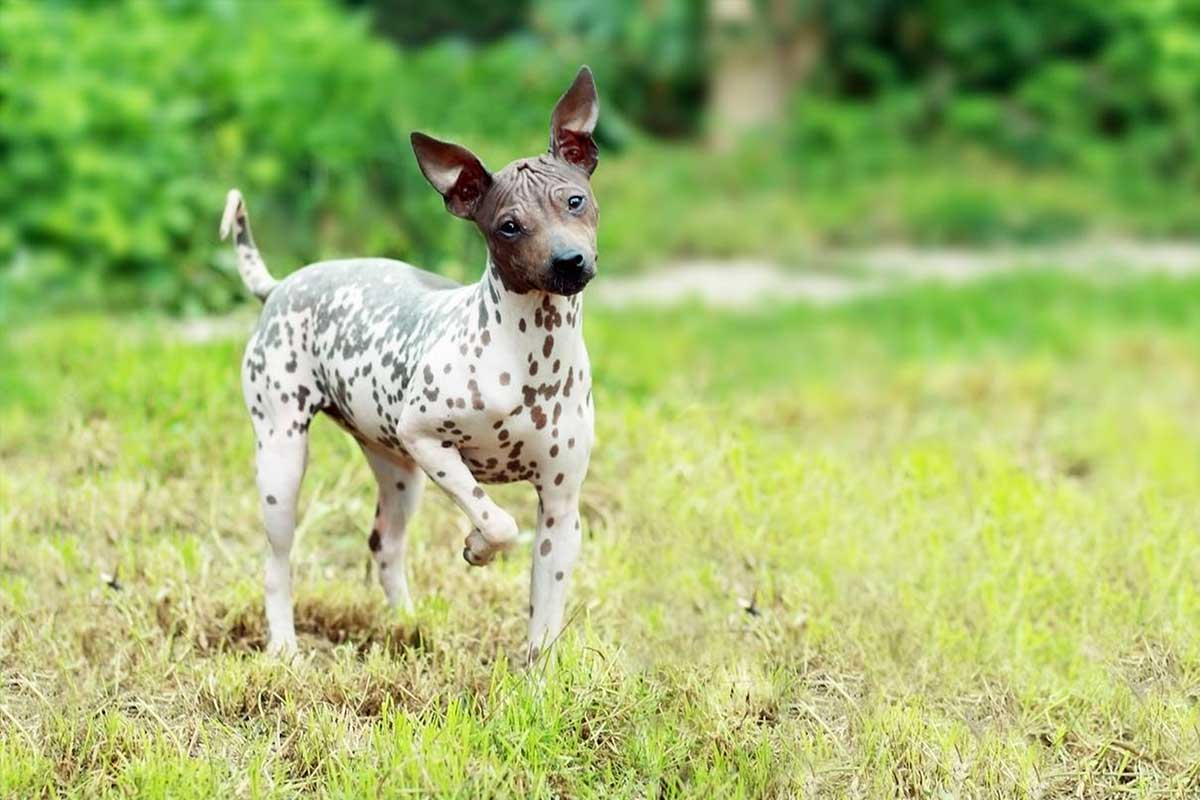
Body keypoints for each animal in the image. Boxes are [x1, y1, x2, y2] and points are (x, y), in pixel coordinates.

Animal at [218, 67, 600, 662]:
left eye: (575, 201)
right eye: (509, 226)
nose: (568, 262)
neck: (530, 357)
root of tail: (279, 285)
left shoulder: (561, 509)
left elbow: (544, 618)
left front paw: (536, 677)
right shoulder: (427, 440)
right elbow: (498, 520)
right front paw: (477, 547)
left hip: (397, 471)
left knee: (385, 544)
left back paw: (410, 625)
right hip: (283, 459)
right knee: (278, 561)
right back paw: (285, 648)